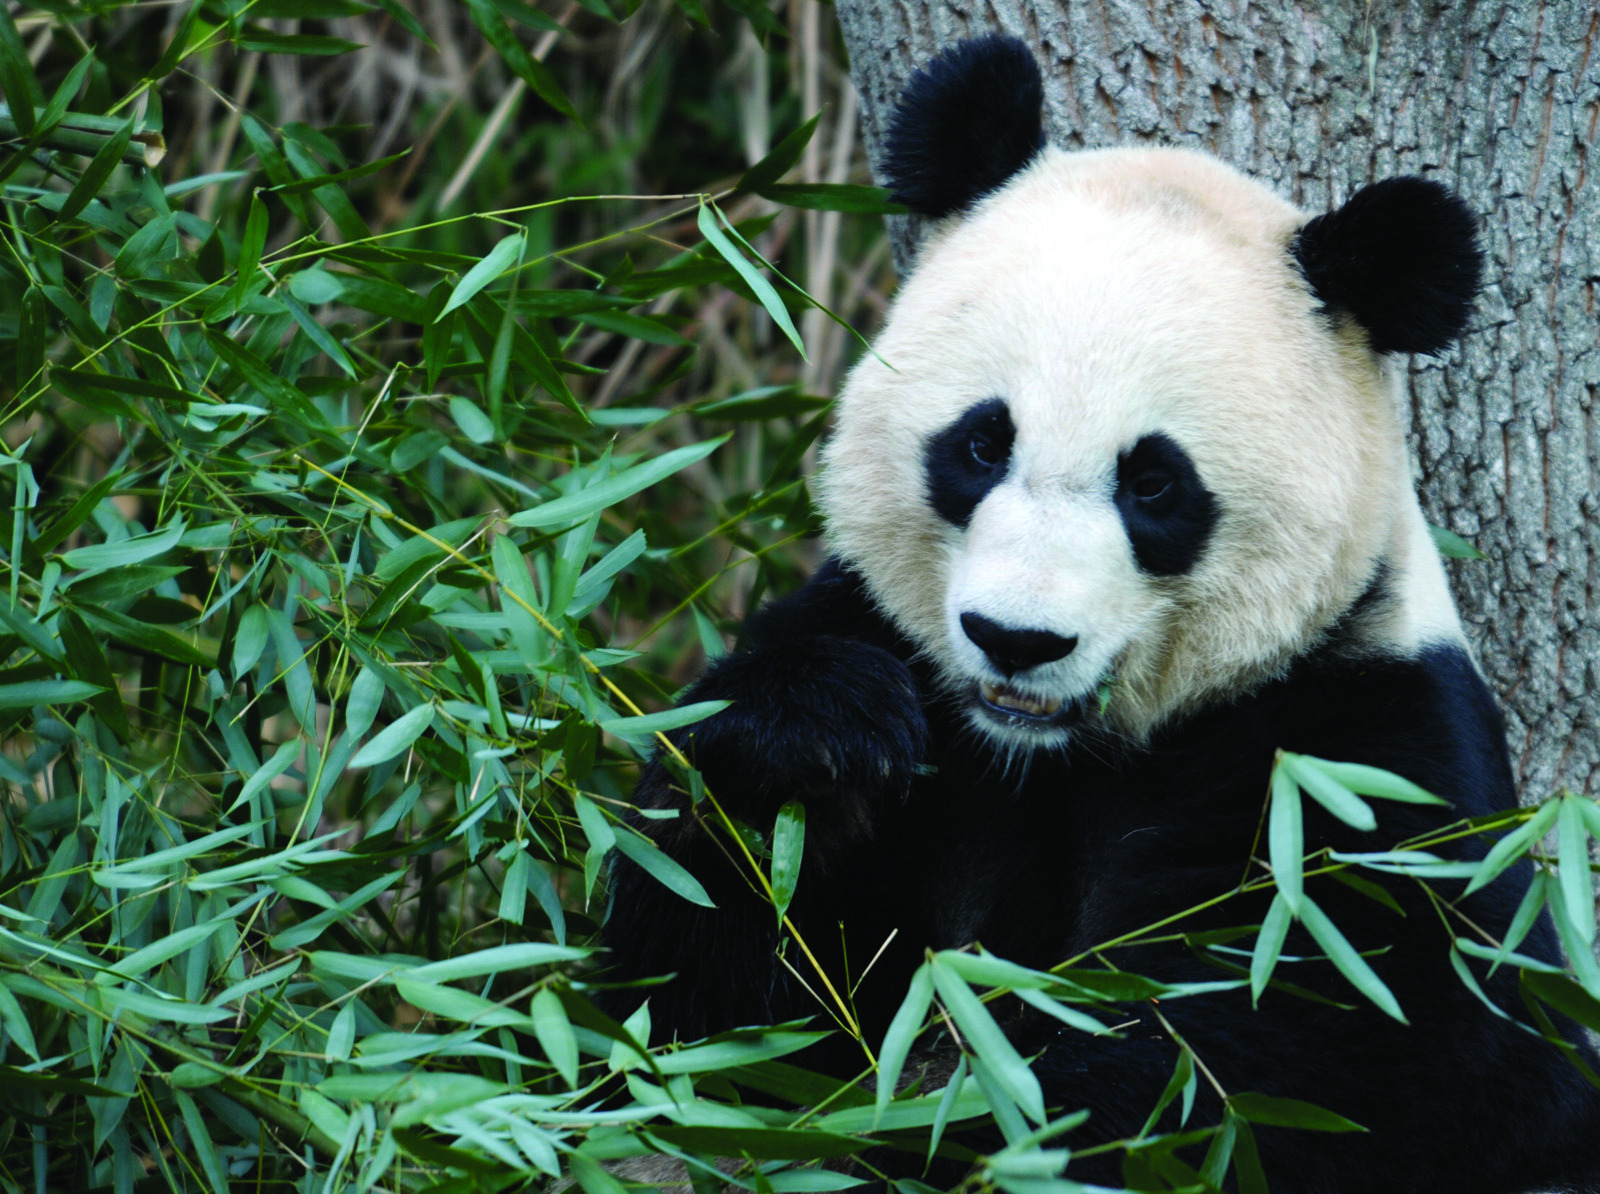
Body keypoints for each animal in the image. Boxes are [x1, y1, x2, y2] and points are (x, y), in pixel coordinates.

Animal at [604, 35, 1600, 1194]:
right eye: (981, 443)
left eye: (1155, 485)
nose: (1016, 641)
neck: (1046, 755)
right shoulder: (898, 676)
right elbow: (702, 1008)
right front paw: (822, 735)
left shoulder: (1354, 762)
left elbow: (1303, 1060)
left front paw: (968, 1125)